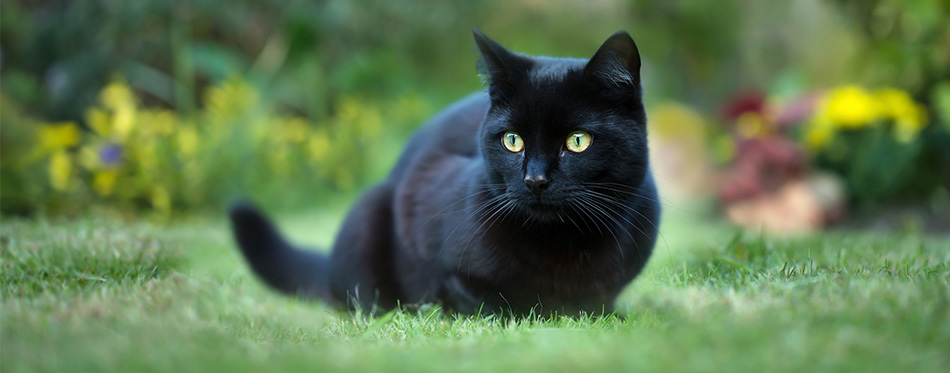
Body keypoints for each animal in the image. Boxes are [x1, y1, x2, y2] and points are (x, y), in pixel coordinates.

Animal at [231, 27, 660, 316]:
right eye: (513, 141)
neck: (562, 246)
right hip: (370, 208)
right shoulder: (424, 205)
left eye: (577, 141)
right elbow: (488, 300)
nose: (535, 180)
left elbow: (597, 303)